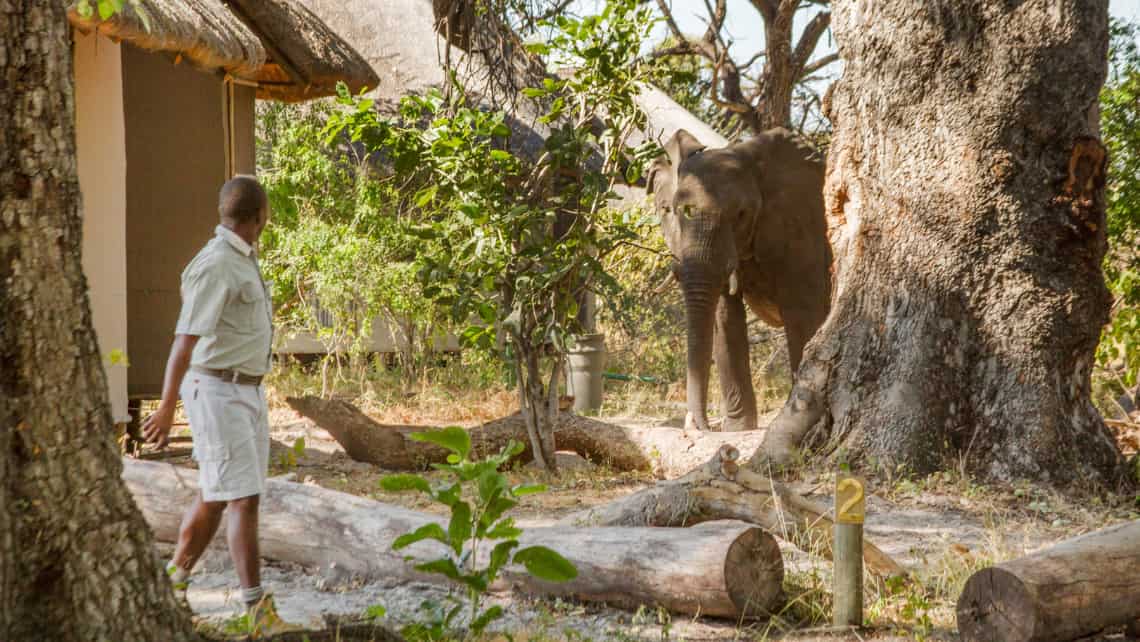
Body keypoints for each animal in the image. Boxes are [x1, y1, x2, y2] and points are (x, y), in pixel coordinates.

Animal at [652, 127, 829, 431]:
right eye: (675, 211)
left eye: (741, 215)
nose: (700, 426)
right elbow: (725, 318)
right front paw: (736, 429)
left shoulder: (804, 228)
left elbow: (803, 314)